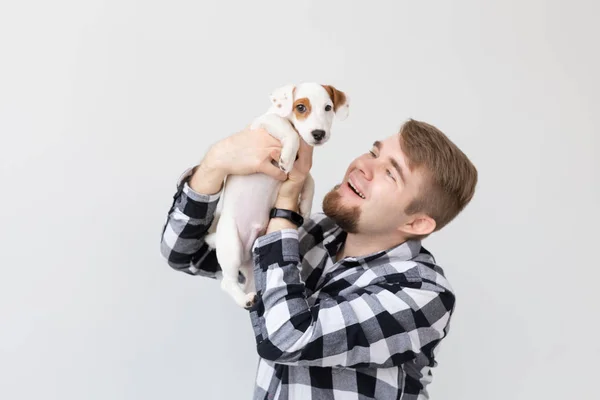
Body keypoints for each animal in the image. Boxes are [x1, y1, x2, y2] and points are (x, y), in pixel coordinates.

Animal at [205, 83, 350, 310]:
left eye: (328, 108)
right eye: (301, 107)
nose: (319, 133)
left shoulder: (302, 171)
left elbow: (310, 180)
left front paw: (305, 206)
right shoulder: (265, 123)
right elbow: (287, 129)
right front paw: (287, 157)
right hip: (232, 245)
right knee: (227, 282)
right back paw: (245, 299)